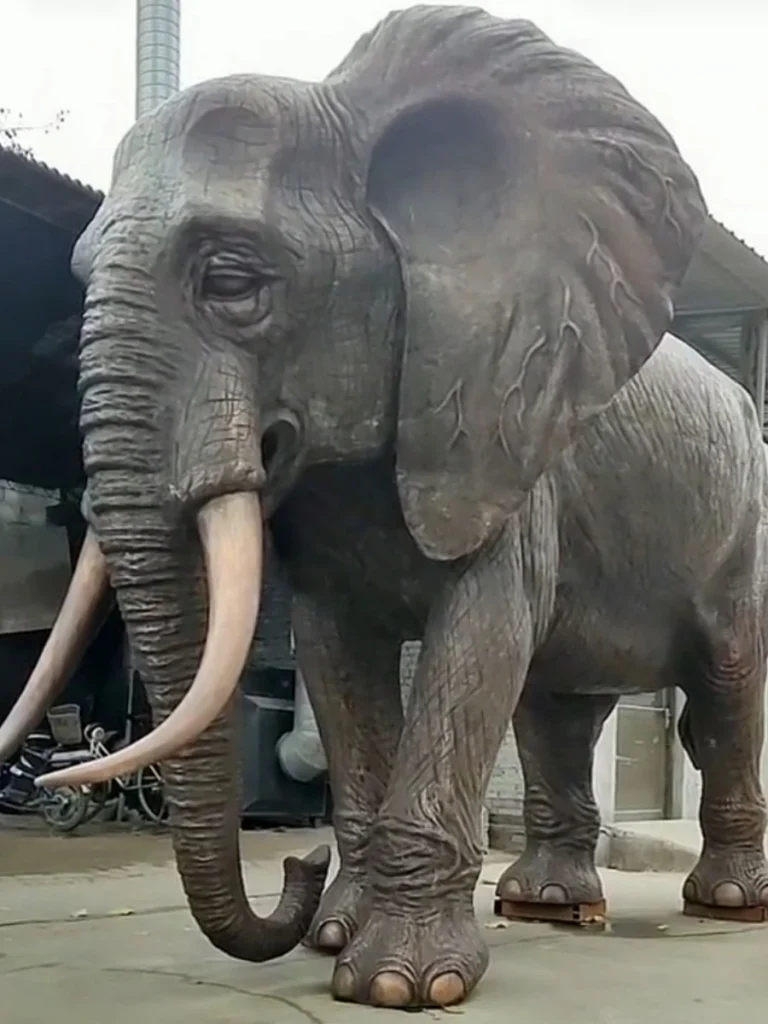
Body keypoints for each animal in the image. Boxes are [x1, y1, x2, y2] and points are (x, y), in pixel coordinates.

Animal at [2, 2, 767, 1012]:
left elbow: (479, 631)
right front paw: (334, 937)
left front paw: (400, 985)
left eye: (233, 281)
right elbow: (335, 652)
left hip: (744, 525)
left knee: (722, 687)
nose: (296, 866)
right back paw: (549, 907)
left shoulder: (507, 423)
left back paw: (726, 902)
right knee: (554, 709)